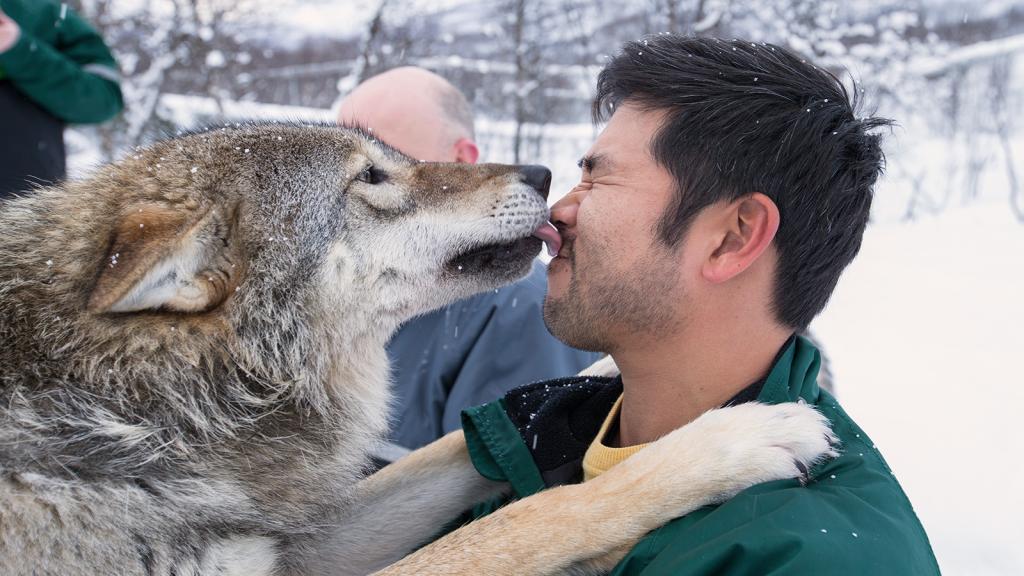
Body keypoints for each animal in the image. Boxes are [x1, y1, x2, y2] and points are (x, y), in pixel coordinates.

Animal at [0, 123, 831, 569]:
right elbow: (533, 518)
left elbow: (455, 450)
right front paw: (730, 441)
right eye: (371, 176)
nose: (543, 170)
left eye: (388, 156)